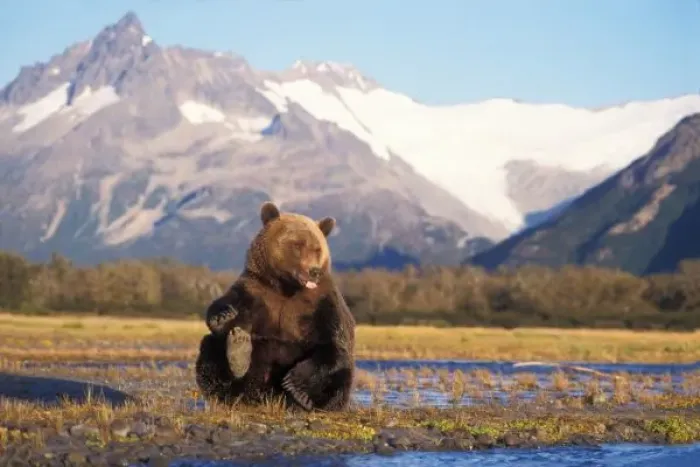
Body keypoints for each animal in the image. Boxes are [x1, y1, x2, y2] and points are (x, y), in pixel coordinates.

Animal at [194, 201, 356, 412]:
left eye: (317, 249)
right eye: (297, 245)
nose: (314, 271)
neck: (285, 288)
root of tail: (267, 396)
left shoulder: (321, 302)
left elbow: (335, 343)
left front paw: (296, 383)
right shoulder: (255, 291)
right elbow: (227, 306)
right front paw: (223, 317)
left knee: (342, 374)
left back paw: (304, 399)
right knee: (211, 352)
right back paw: (237, 358)